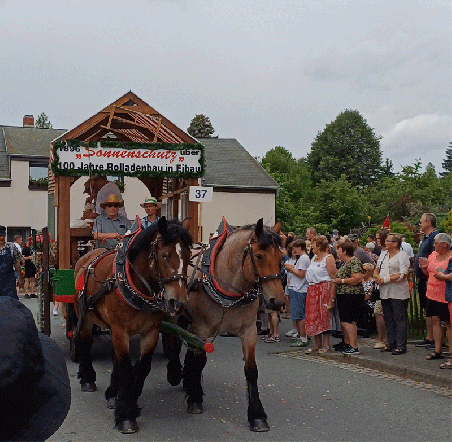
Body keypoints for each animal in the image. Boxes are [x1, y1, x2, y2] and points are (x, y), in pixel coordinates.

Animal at [72, 219, 191, 434]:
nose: (178, 303)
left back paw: (112, 392)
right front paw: (126, 415)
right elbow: (126, 368)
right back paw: (87, 379)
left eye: (188, 256)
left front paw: (128, 401)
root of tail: (87, 256)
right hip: (84, 317)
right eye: (164, 255)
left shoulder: (150, 332)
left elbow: (142, 368)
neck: (138, 287)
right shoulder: (121, 331)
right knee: (85, 344)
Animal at [166, 219, 286, 434]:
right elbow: (200, 360)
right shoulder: (203, 328)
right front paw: (195, 399)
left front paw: (257, 415)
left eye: (281, 257)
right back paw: (175, 373)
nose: (277, 301)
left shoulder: (249, 331)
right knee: (173, 341)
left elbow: (251, 370)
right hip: (175, 310)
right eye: (259, 256)